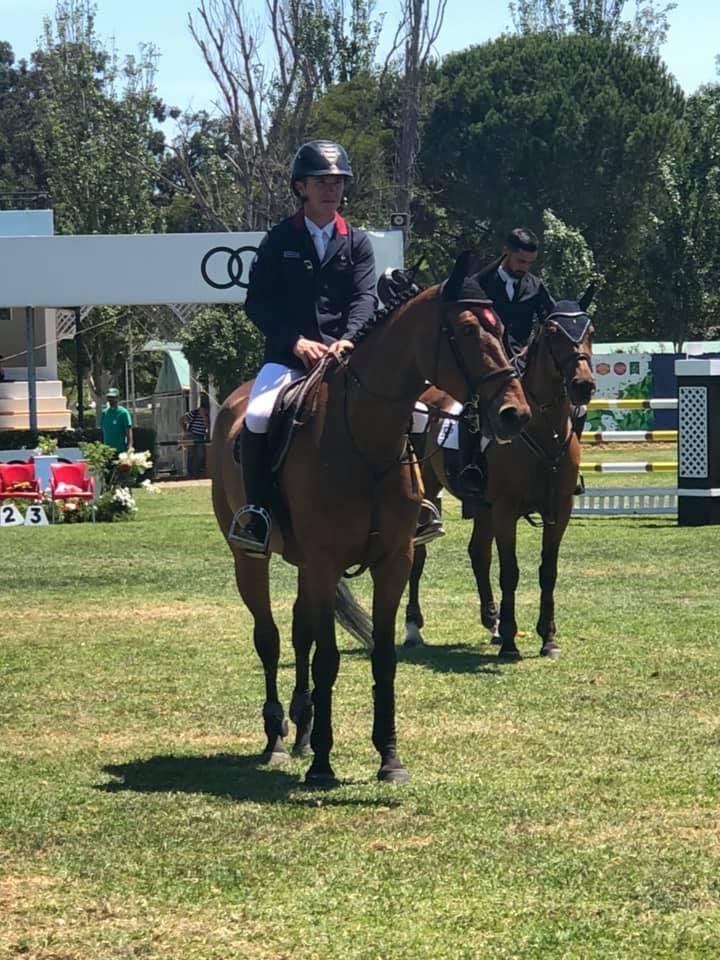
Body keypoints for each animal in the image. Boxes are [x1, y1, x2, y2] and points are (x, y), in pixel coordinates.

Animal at [211, 251, 532, 784]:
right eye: (467, 330)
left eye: (502, 328)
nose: (514, 414)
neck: (362, 438)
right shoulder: (325, 562)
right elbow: (328, 659)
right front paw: (323, 764)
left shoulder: (392, 561)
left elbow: (382, 656)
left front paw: (389, 757)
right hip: (249, 557)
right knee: (270, 638)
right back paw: (277, 737)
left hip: (305, 565)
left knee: (299, 632)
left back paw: (302, 728)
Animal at [404, 292, 596, 660]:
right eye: (553, 332)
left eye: (590, 329)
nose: (583, 385)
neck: (544, 430)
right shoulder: (507, 510)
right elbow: (510, 572)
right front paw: (510, 641)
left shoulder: (559, 511)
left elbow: (548, 572)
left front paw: (548, 638)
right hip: (433, 493)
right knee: (419, 556)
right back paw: (413, 628)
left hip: (484, 507)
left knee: (478, 554)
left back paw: (490, 623)